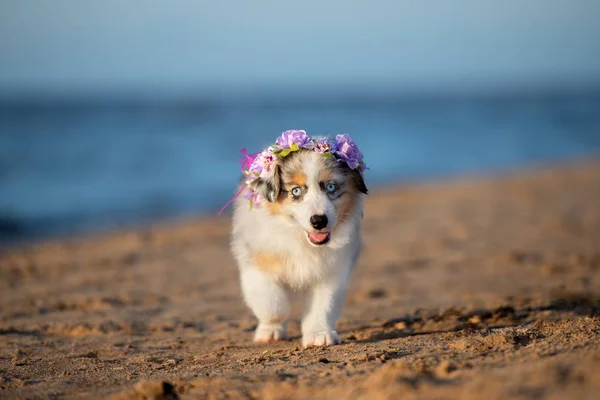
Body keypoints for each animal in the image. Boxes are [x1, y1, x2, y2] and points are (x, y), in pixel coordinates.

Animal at [224, 131, 366, 346]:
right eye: (296, 191)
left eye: (331, 187)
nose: (319, 221)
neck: (299, 238)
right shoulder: (256, 262)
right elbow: (271, 301)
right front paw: (270, 331)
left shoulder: (332, 272)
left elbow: (324, 305)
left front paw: (319, 335)